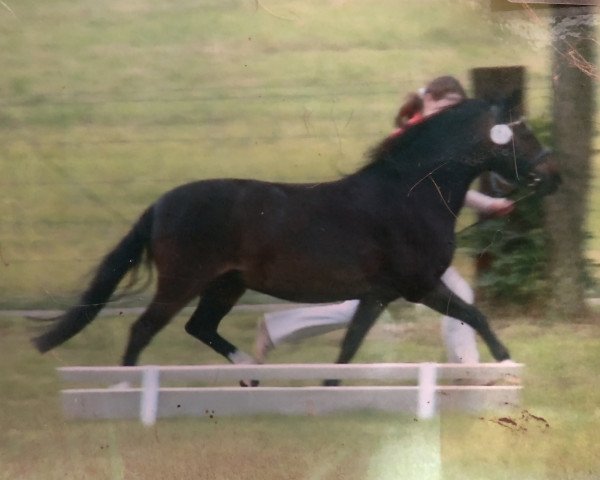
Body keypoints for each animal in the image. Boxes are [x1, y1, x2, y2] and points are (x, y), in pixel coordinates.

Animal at [32, 100, 560, 372]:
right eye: (519, 132)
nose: (551, 176)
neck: (410, 195)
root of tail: (160, 205)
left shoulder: (379, 294)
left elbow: (349, 347)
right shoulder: (419, 286)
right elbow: (475, 316)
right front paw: (504, 367)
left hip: (226, 284)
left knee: (199, 327)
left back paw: (251, 374)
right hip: (183, 282)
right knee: (143, 330)